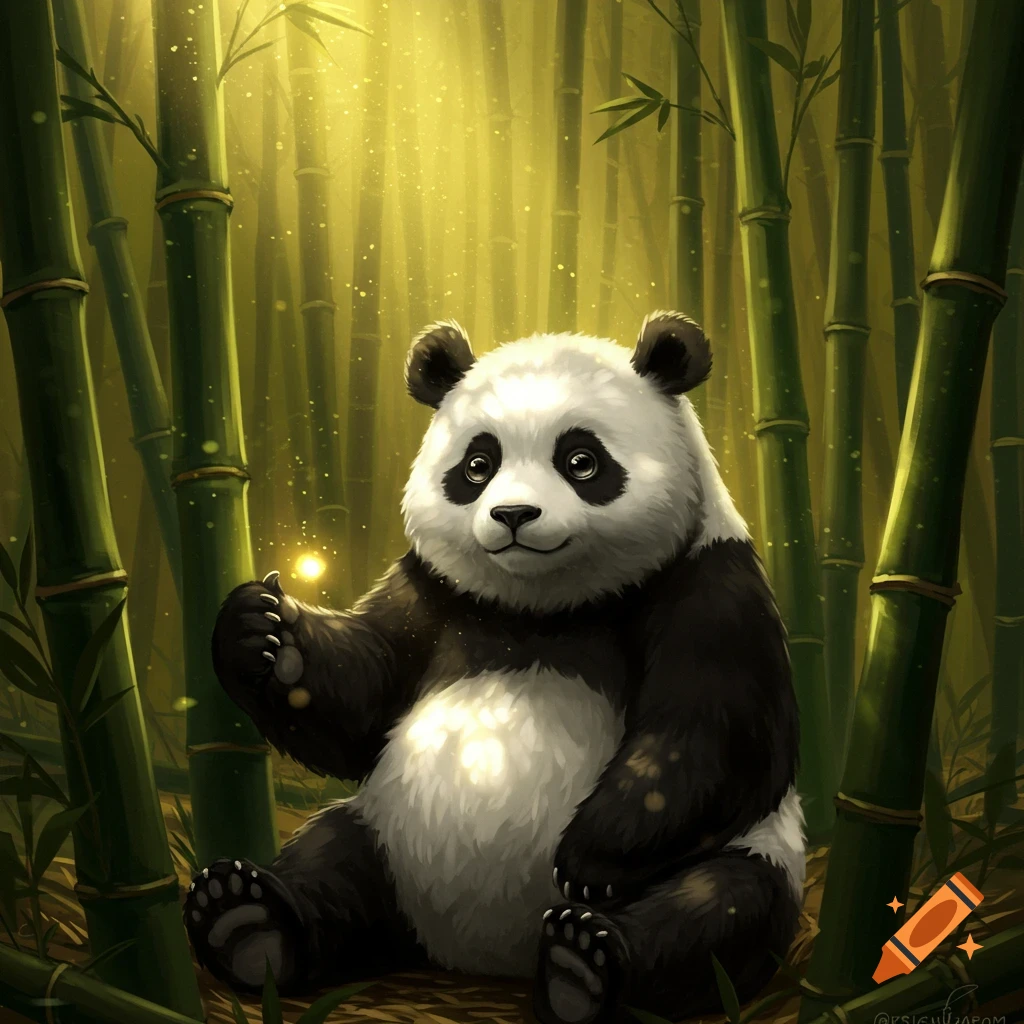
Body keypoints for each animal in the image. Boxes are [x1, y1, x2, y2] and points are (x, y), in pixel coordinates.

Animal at [184, 312, 805, 1024]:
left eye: (581, 460)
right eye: (478, 464)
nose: (513, 515)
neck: (543, 608)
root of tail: (479, 954)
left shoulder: (708, 582)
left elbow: (717, 731)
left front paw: (590, 857)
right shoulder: (434, 591)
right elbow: (360, 699)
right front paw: (259, 631)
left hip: (756, 853)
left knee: (721, 910)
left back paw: (584, 965)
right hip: (387, 835)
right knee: (331, 861)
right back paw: (246, 921)